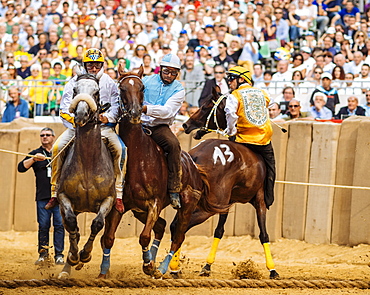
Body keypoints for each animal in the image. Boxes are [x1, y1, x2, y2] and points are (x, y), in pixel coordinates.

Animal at [98, 65, 208, 280]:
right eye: (122, 88)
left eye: (141, 88)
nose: (135, 112)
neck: (139, 158)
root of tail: (193, 165)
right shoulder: (121, 205)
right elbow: (108, 238)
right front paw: (104, 271)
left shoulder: (154, 203)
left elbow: (144, 236)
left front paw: (148, 265)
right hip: (138, 210)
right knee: (162, 226)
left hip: (187, 207)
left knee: (178, 236)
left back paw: (162, 267)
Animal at [174, 86, 280, 280]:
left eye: (206, 107)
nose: (186, 125)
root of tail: (195, 156)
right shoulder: (259, 200)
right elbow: (264, 234)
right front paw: (272, 270)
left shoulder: (227, 204)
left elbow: (219, 231)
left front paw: (207, 266)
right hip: (208, 206)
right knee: (178, 226)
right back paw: (172, 267)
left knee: (179, 225)